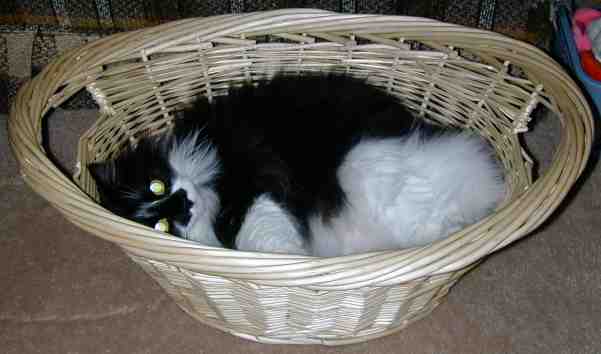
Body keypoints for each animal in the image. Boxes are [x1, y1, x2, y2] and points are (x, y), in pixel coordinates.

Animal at [86, 72, 504, 254]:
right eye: (161, 227)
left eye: (156, 185)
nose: (183, 204)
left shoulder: (257, 175)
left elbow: (267, 225)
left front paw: (292, 257)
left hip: (361, 164)